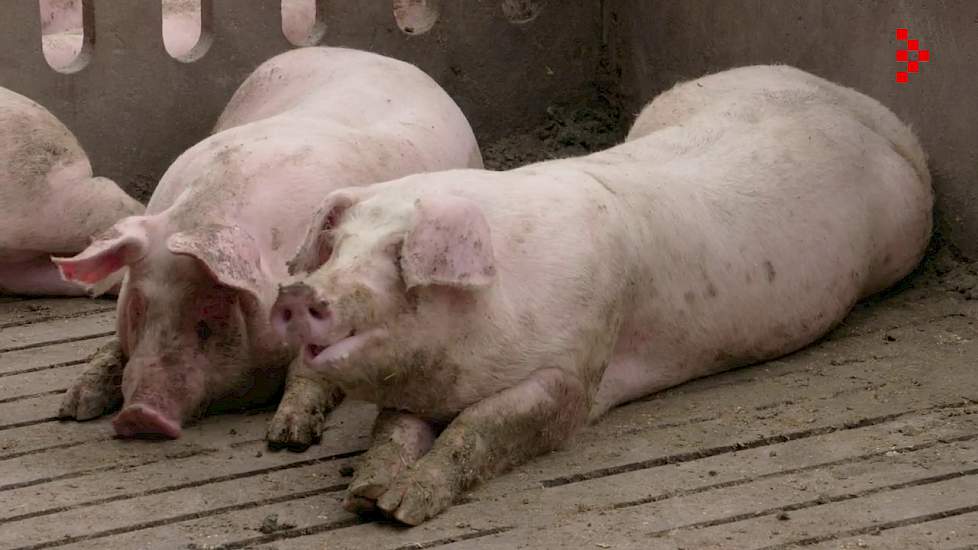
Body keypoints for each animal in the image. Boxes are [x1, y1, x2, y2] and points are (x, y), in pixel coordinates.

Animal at [52, 45, 480, 446]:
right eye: (138, 308)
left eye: (208, 318)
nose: (140, 416)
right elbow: (112, 349)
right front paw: (72, 407)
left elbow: (309, 371)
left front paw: (288, 435)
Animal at [272, 64, 932, 528]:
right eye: (339, 249)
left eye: (398, 258)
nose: (297, 291)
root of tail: (868, 108)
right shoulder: (421, 387)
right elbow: (393, 429)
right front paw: (365, 497)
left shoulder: (576, 367)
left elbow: (487, 425)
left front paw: (401, 510)